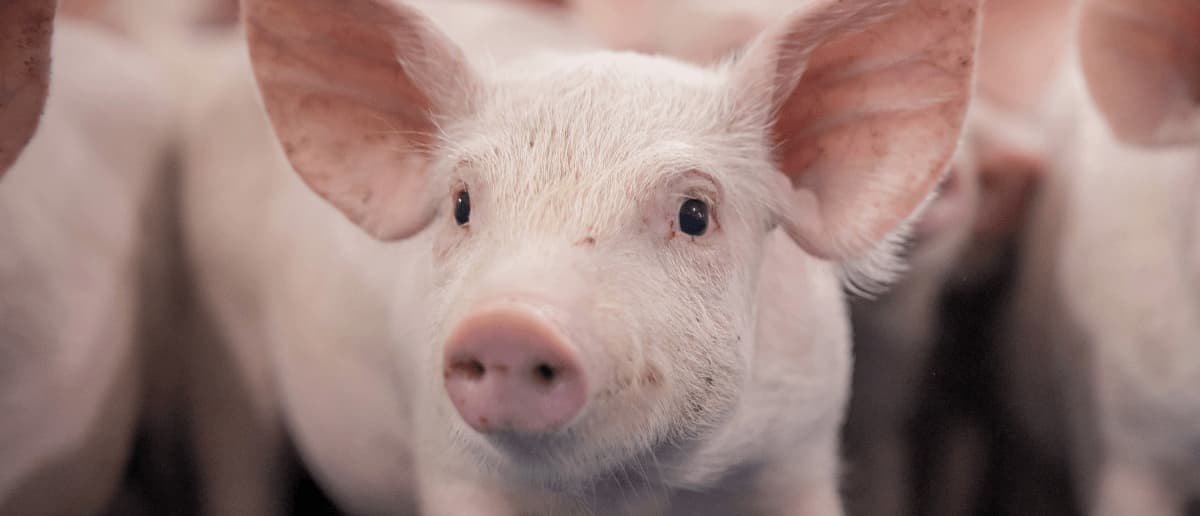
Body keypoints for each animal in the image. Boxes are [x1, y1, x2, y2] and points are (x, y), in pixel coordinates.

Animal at [178, 0, 981, 514]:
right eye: (462, 203)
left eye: (695, 215)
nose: (510, 323)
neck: (634, 494)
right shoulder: (453, 467)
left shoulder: (800, 451)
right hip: (219, 345)